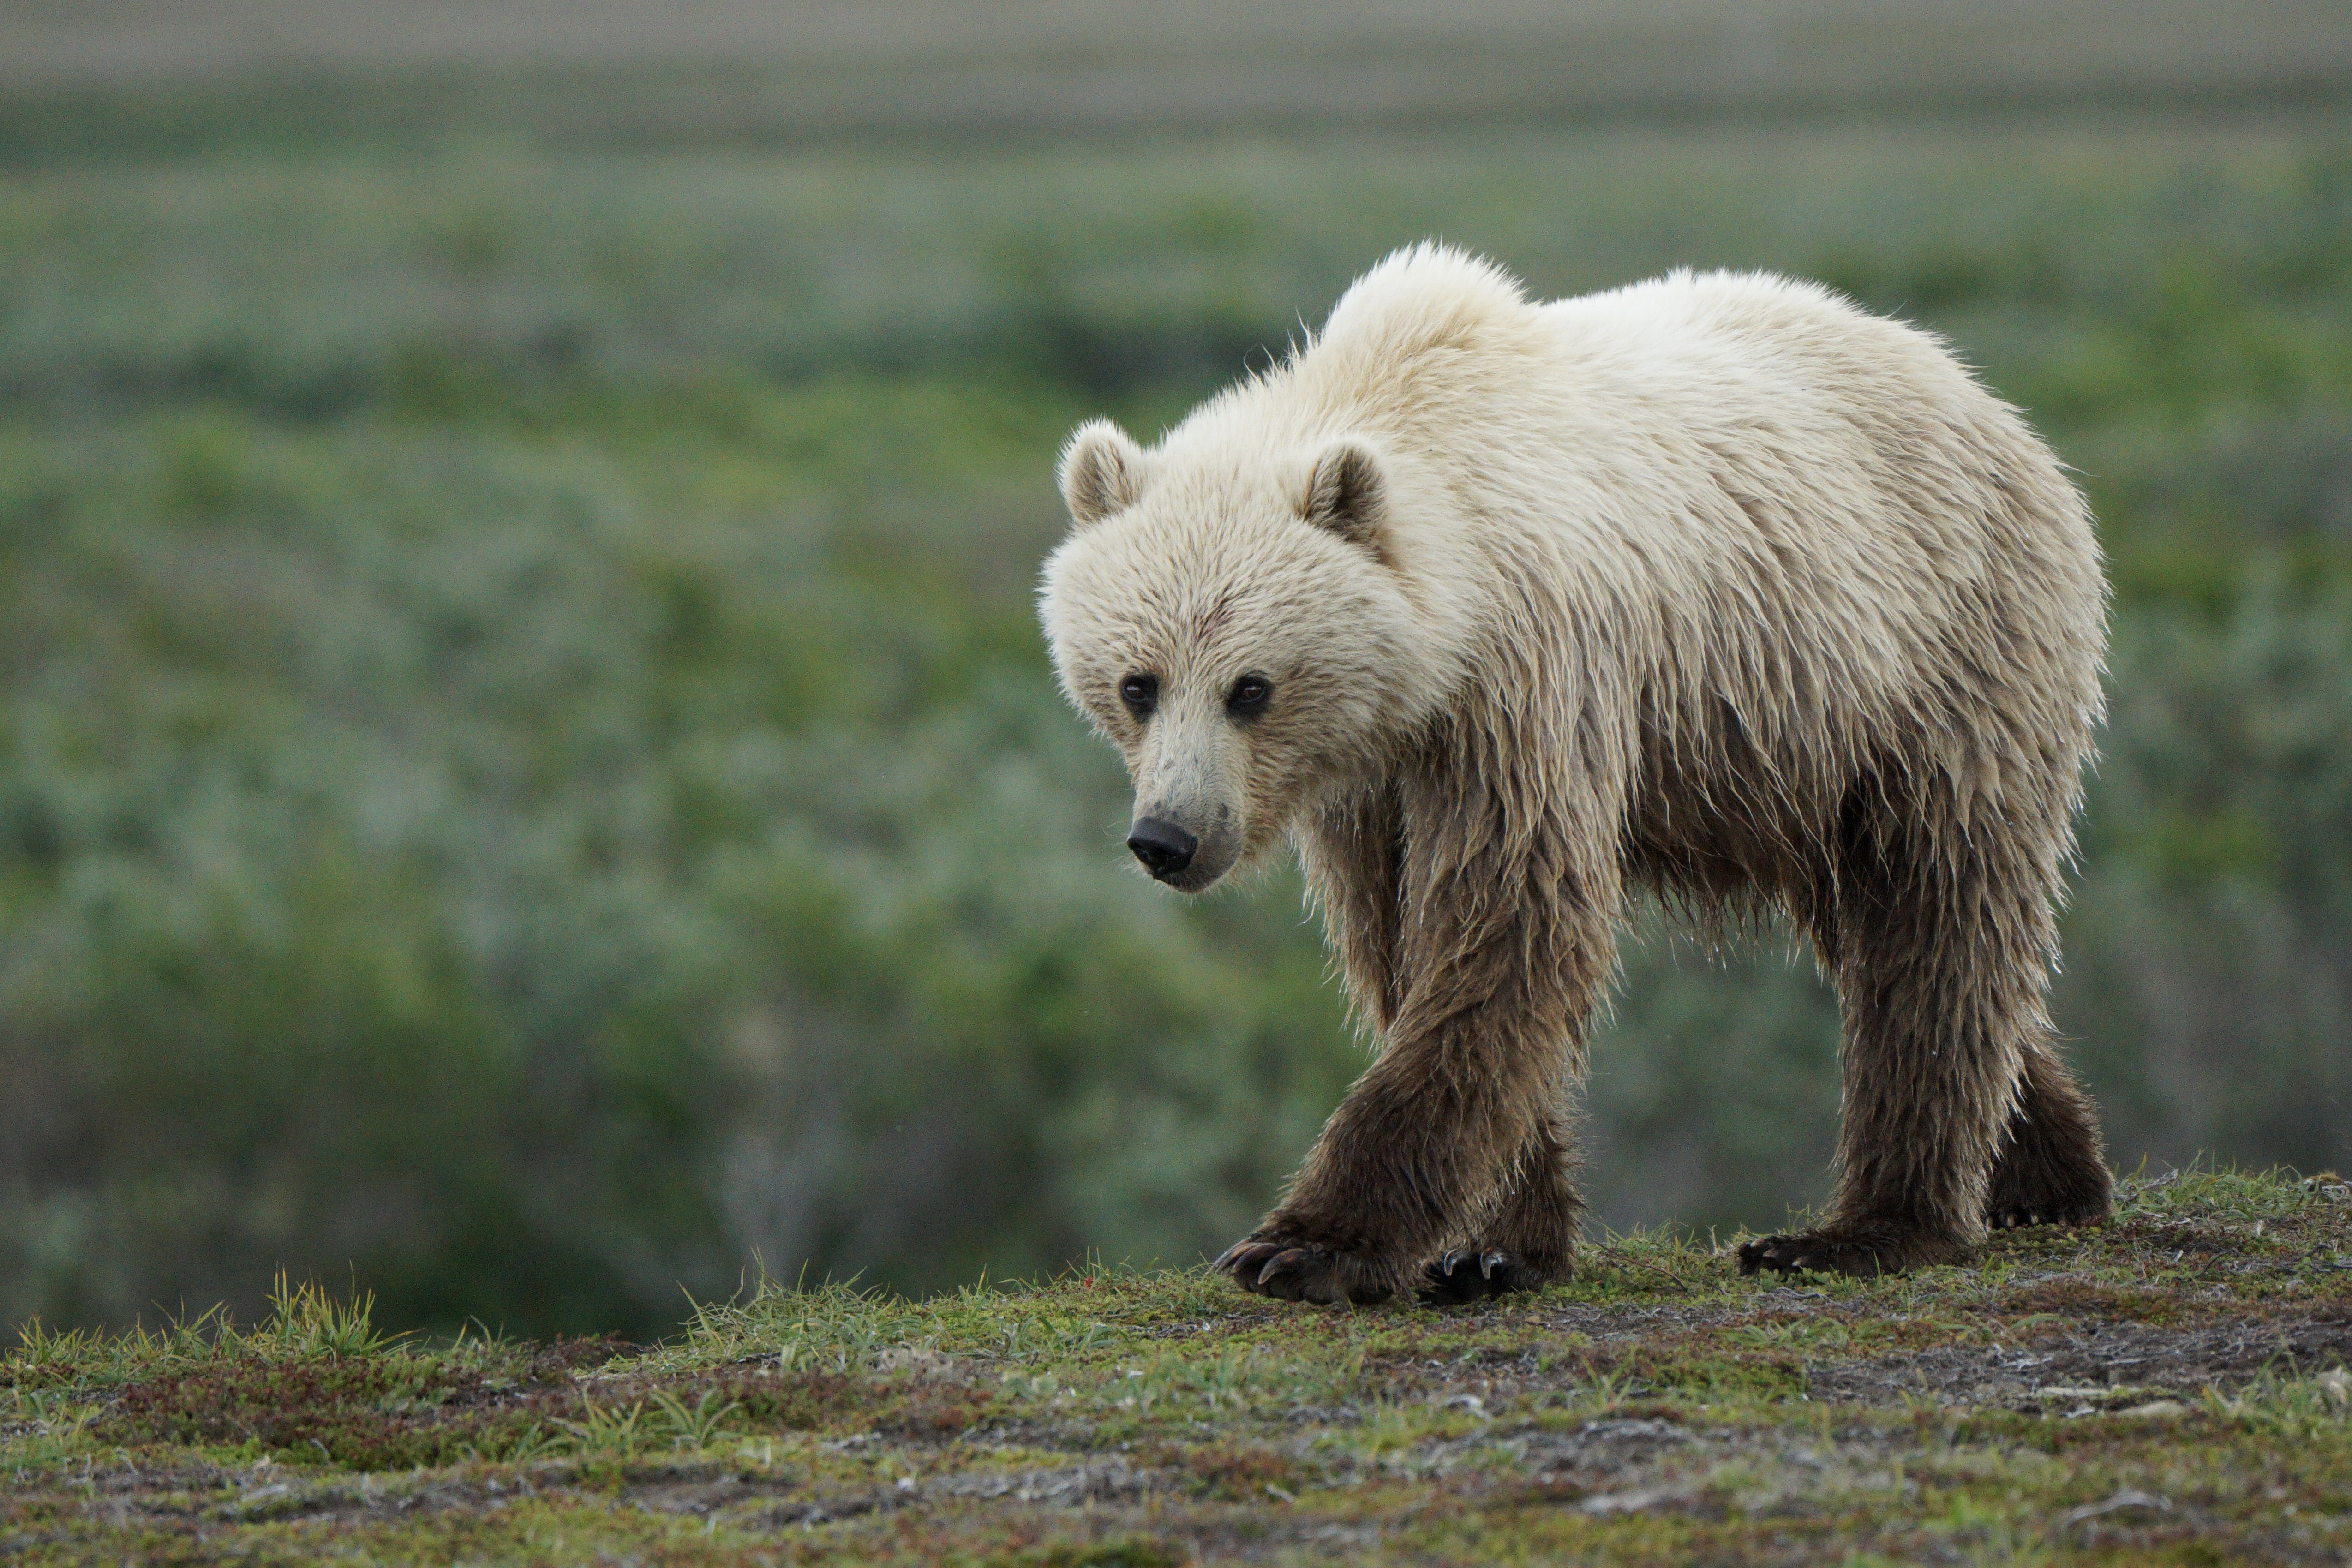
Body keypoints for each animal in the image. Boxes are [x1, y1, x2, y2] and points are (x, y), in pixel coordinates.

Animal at [1036, 244, 2112, 1306]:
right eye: (1137, 682)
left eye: (1250, 686)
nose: (1168, 837)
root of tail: (1984, 397)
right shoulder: (1374, 779)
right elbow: (1397, 940)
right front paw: (1490, 1243)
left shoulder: (1529, 685)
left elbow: (1507, 922)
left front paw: (1304, 1245)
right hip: (1799, 761)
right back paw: (2044, 1176)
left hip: (1932, 660)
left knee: (1935, 914)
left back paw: (1871, 1226)